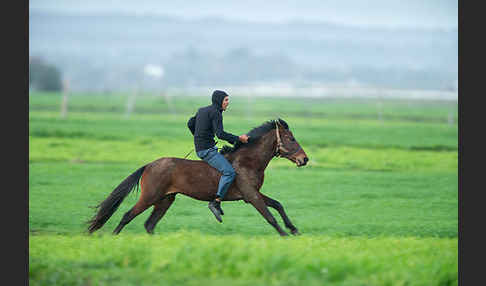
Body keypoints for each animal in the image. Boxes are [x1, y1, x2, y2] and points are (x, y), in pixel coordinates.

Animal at [87, 117, 308, 236]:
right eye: (290, 138)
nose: (304, 159)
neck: (248, 162)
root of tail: (149, 165)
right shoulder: (251, 196)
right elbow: (270, 216)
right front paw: (285, 235)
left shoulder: (253, 194)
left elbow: (278, 205)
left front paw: (294, 229)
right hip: (150, 197)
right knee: (127, 216)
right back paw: (114, 237)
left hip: (165, 200)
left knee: (149, 224)